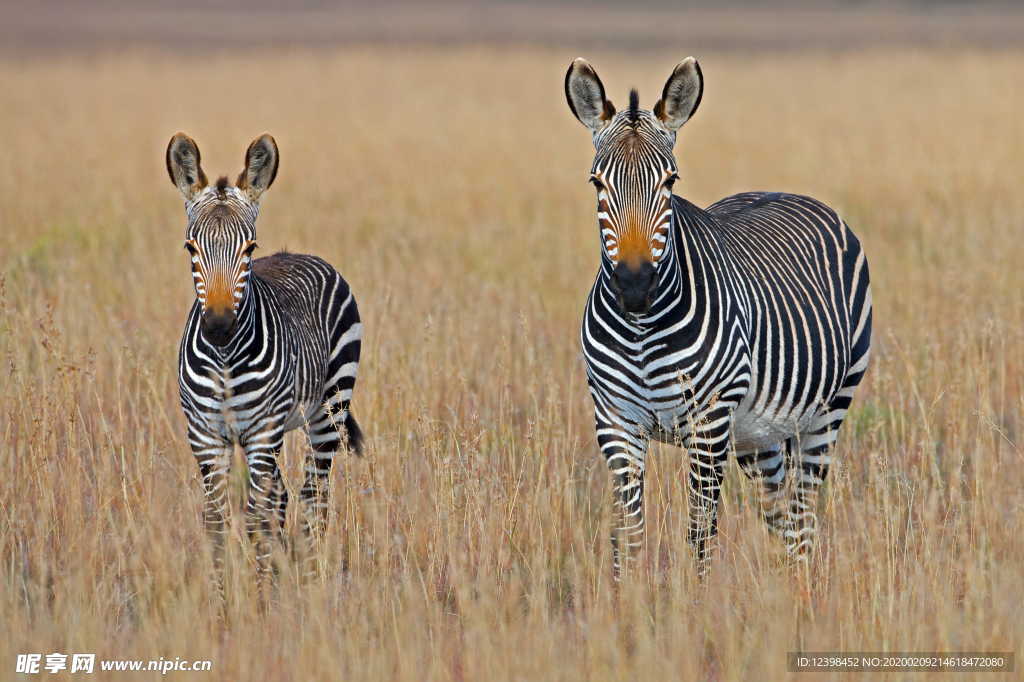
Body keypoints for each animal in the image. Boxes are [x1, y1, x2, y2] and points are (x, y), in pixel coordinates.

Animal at [164, 131, 364, 593]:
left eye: (250, 247)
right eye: (190, 247)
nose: (219, 326)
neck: (224, 360)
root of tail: (299, 254)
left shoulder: (261, 434)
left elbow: (256, 520)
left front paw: (259, 602)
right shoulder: (205, 436)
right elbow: (218, 523)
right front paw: (222, 603)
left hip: (328, 411)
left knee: (313, 496)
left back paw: (309, 582)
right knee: (285, 496)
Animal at [565, 61, 876, 577]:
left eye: (670, 181)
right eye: (596, 184)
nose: (634, 286)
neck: (641, 330)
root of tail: (784, 190)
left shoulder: (709, 424)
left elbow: (699, 535)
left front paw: (696, 600)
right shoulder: (615, 421)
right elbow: (627, 537)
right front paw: (624, 598)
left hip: (828, 410)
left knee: (803, 517)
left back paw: (802, 590)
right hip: (758, 434)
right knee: (779, 516)